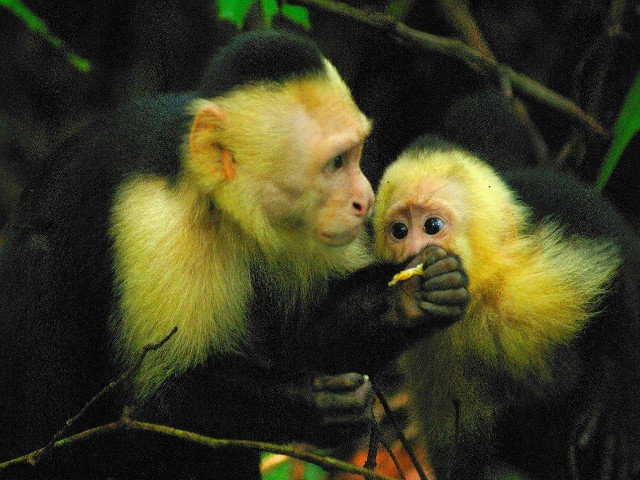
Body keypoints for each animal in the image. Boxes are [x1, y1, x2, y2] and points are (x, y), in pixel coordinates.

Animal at [0, 33, 470, 480]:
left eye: (355, 155)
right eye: (336, 163)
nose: (365, 199)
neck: (221, 203)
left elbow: (303, 336)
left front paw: (411, 298)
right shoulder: (158, 225)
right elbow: (153, 405)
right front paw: (310, 403)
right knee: (40, 260)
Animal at [370, 136, 640, 480]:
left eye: (432, 225)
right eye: (399, 231)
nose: (413, 257)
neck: (480, 301)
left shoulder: (541, 271)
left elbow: (617, 280)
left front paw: (618, 405)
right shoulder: (431, 353)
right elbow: (462, 455)